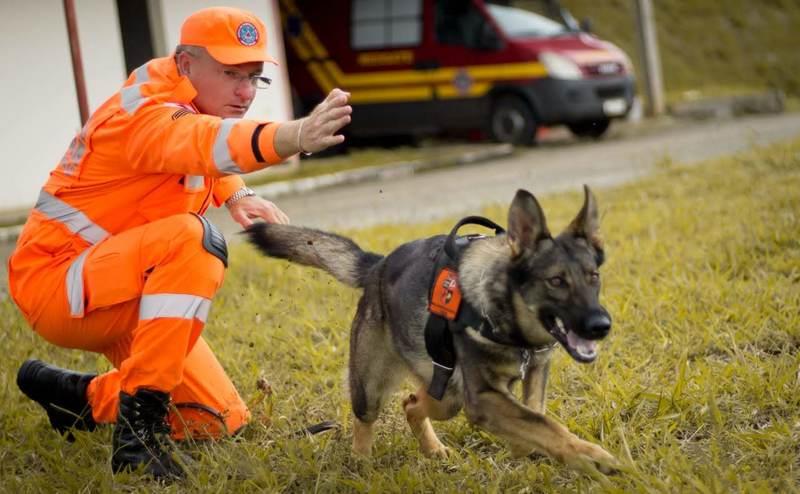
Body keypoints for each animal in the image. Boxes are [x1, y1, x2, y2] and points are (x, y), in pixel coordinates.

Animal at [247, 187, 616, 472]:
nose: (601, 326)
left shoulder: (533, 372)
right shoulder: (483, 398)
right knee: (368, 417)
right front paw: (591, 456)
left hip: (448, 393)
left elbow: (535, 416)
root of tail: (378, 266)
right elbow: (543, 423)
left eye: (593, 277)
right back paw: (362, 461)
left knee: (412, 402)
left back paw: (432, 448)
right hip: (374, 387)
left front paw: (533, 450)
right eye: (556, 281)